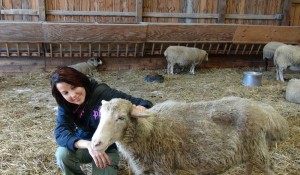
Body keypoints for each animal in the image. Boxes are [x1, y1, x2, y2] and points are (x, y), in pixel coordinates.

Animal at [91, 96, 288, 174]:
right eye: (100, 115)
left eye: (121, 117)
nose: (95, 143)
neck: (149, 131)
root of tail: (262, 109)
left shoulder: (164, 168)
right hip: (251, 151)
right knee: (249, 166)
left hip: (258, 150)